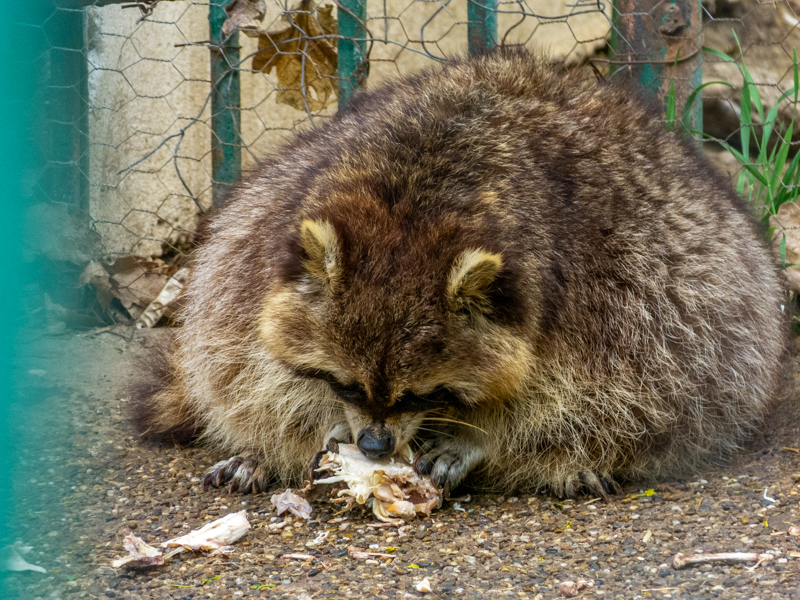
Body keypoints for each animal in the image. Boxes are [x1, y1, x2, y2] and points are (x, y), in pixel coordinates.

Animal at [135, 47, 788, 498]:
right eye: (343, 384)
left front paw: (486, 436)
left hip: (725, 284)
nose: (375, 444)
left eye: (426, 392)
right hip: (257, 205)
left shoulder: (618, 290)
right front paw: (311, 429)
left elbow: (638, 394)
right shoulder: (260, 254)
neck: (417, 199)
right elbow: (242, 360)